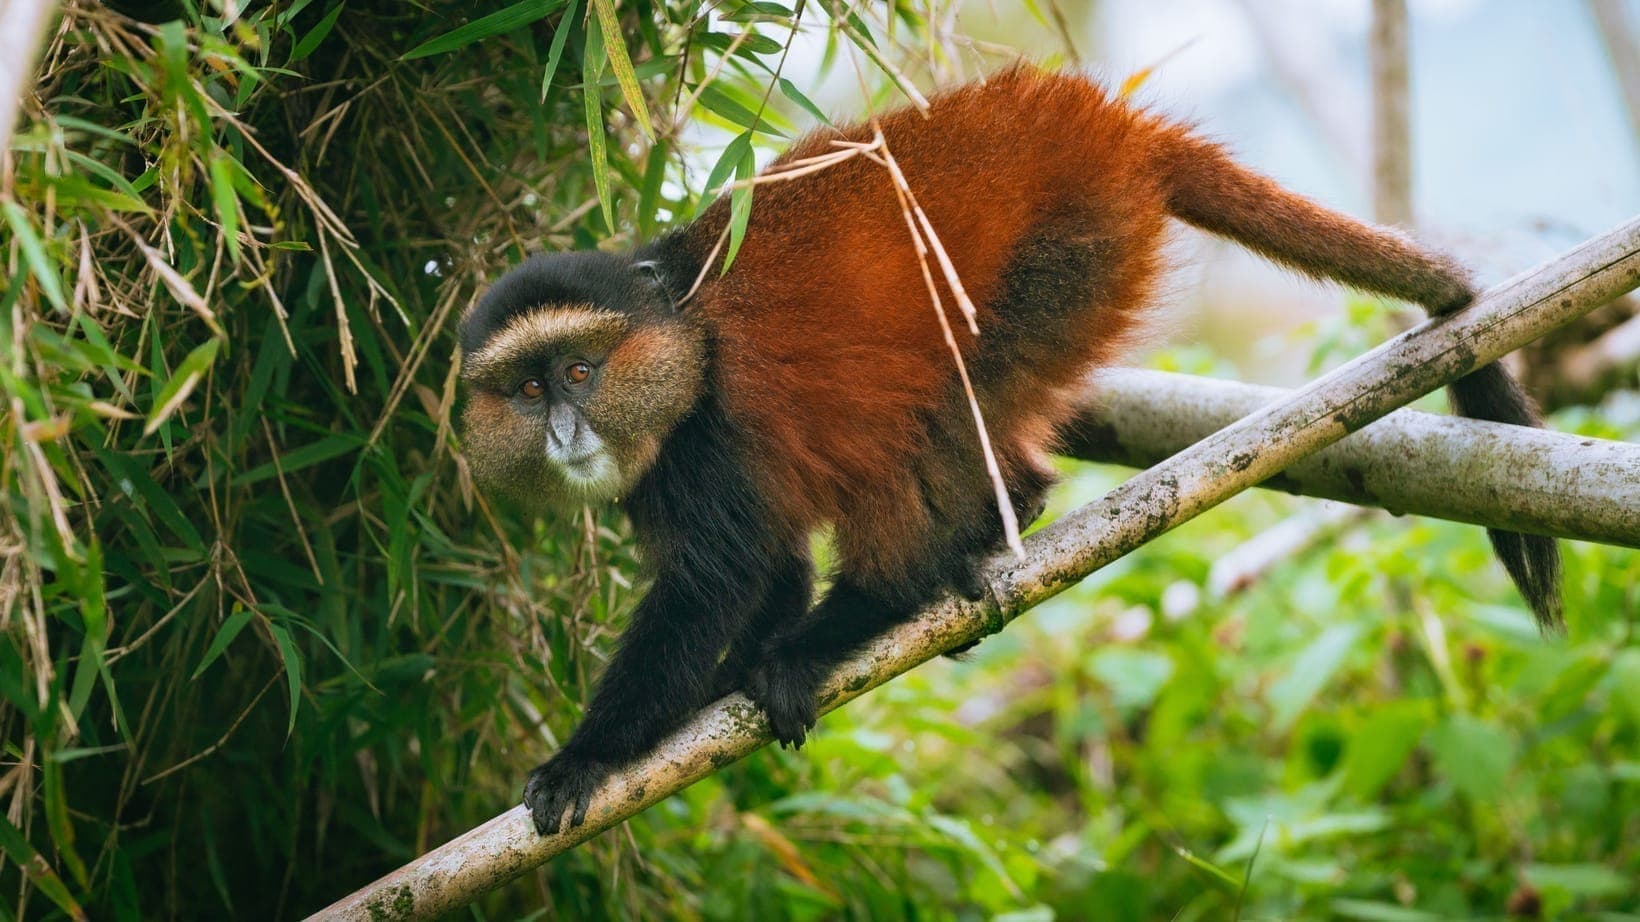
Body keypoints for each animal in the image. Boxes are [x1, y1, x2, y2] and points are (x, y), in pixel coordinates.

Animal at [457, 66, 1561, 836]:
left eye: (580, 371)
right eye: (526, 388)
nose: (564, 430)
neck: (678, 345)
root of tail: (1114, 128)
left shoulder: (709, 440)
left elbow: (716, 587)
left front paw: (585, 758)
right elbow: (765, 571)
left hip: (1071, 256)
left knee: (949, 403)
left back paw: (890, 595)